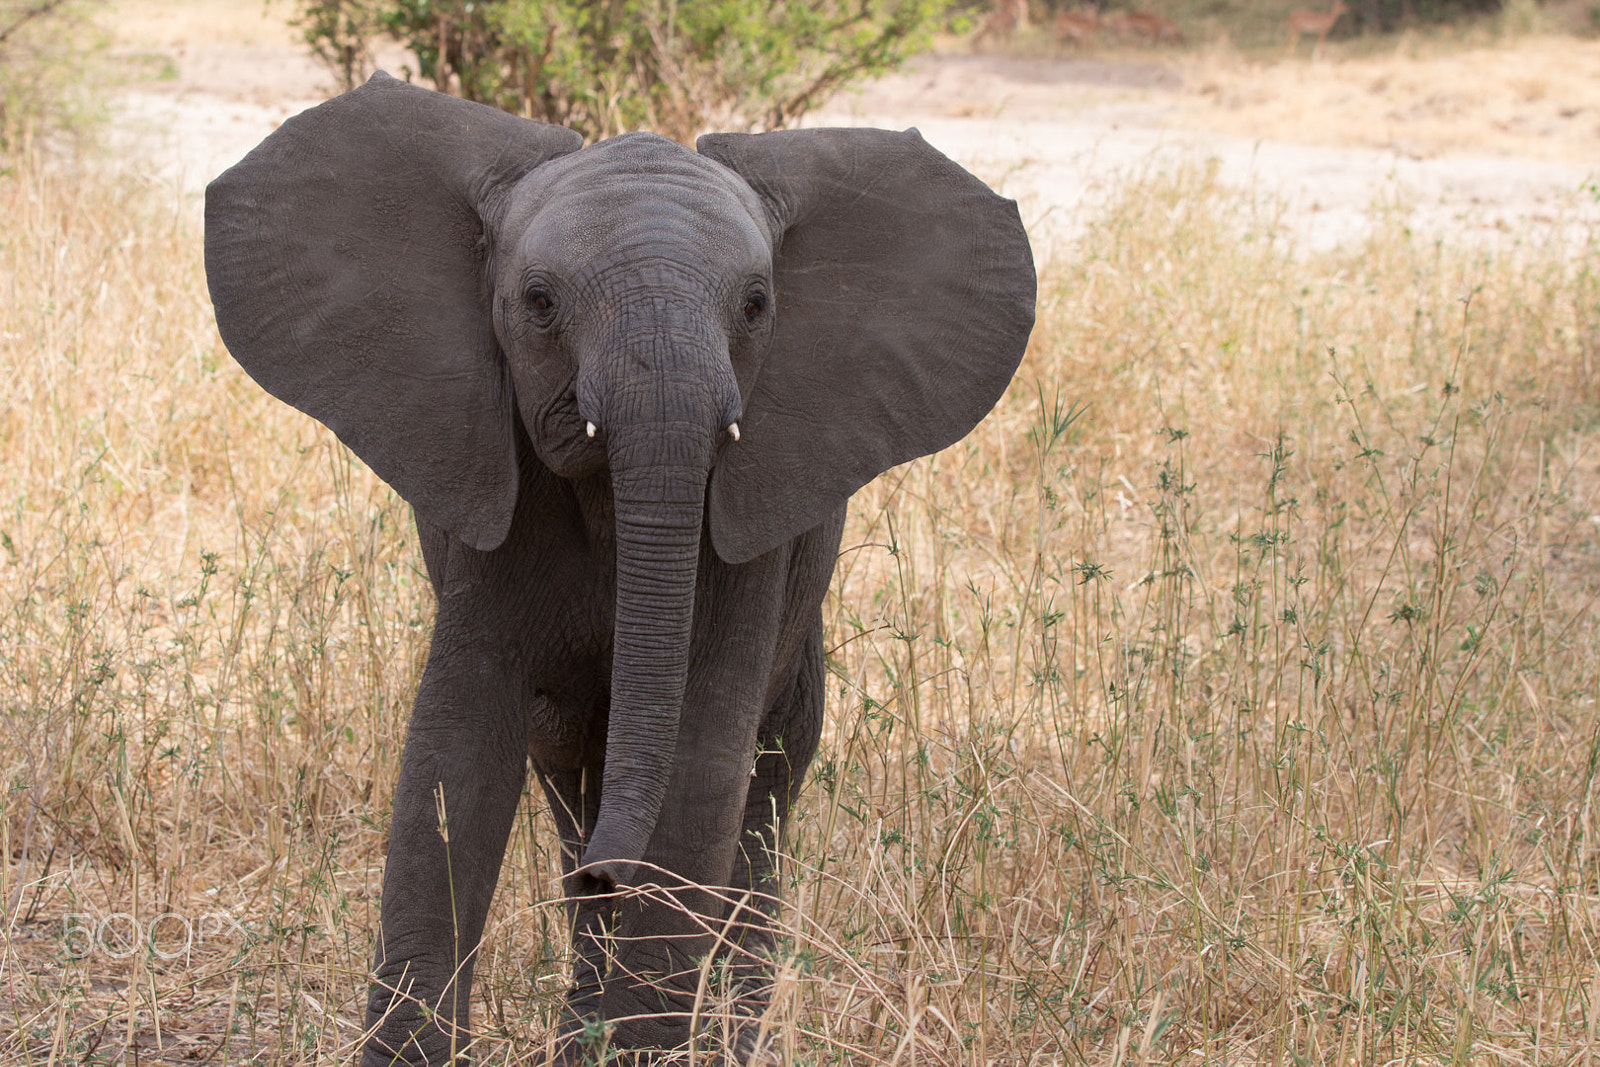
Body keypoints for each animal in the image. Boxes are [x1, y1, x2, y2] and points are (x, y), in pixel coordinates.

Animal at [204, 72, 1034, 1064]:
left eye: (757, 305)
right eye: (538, 301)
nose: (612, 868)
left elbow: (699, 764)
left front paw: (631, 1037)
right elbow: (453, 753)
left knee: (766, 785)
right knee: (570, 778)